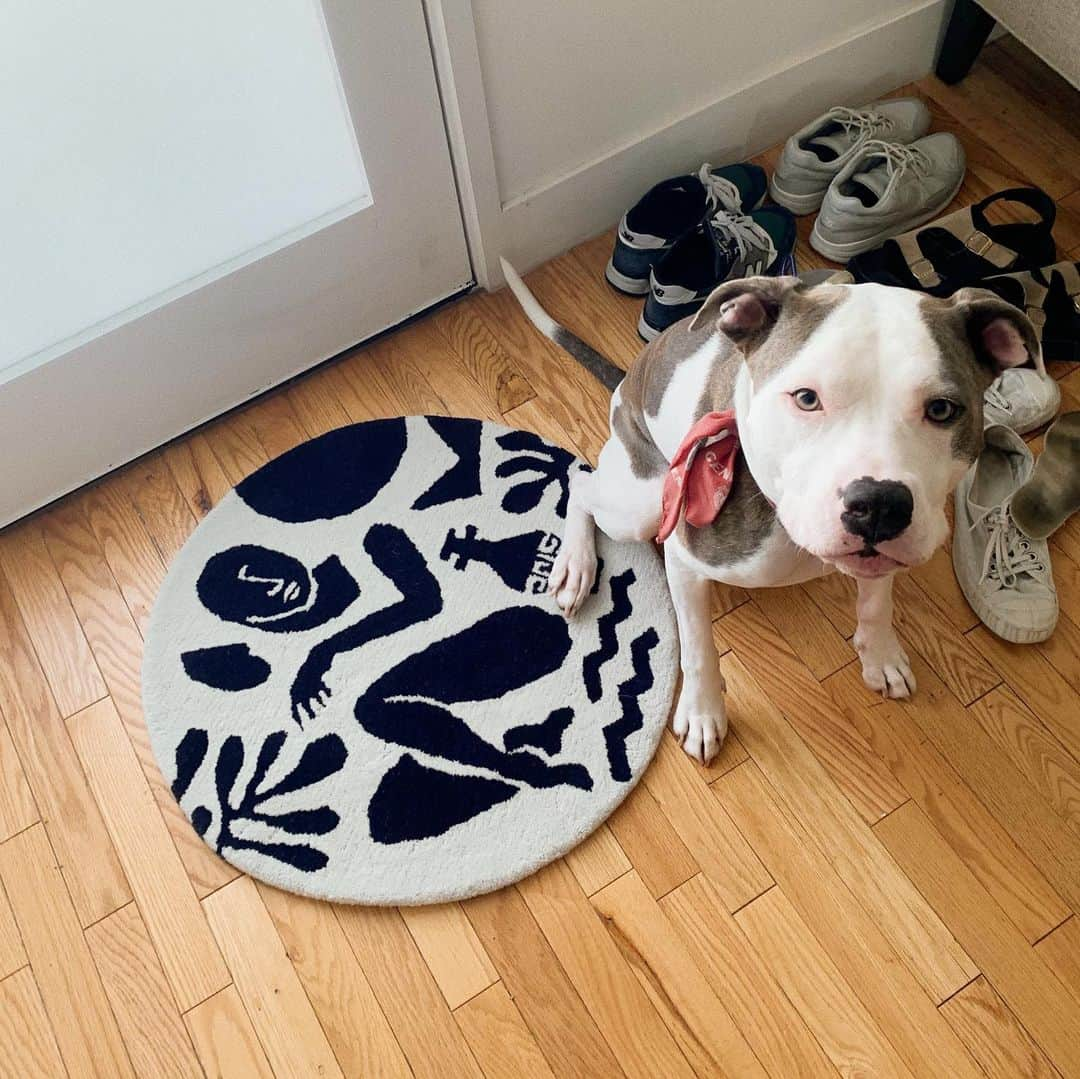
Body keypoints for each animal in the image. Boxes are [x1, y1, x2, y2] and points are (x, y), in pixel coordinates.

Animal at [503, 259, 1045, 769]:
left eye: (942, 410)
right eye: (806, 398)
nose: (879, 505)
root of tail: (625, 383)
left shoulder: (889, 554)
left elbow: (877, 601)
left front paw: (880, 653)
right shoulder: (685, 560)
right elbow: (698, 648)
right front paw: (702, 713)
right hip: (646, 499)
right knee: (581, 484)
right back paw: (575, 567)